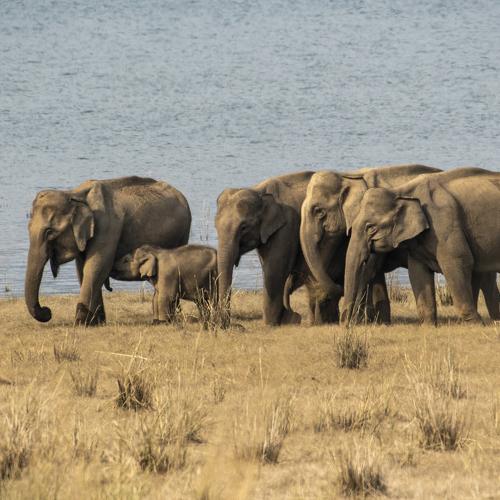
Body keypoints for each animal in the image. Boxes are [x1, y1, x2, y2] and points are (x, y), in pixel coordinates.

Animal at [25, 176, 191, 326]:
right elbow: (82, 268)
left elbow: (97, 266)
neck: (74, 195)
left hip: (182, 234)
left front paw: (80, 322)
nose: (47, 311)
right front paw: (96, 322)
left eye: (49, 232)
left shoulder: (107, 226)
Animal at [215, 171, 346, 327]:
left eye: (244, 227)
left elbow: (274, 271)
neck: (259, 192)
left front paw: (271, 324)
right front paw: (285, 320)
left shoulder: (287, 226)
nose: (228, 324)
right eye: (215, 227)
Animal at [300, 164, 442, 323]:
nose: (338, 287)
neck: (348, 177)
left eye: (319, 211)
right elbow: (373, 272)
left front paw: (357, 321)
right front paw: (381, 322)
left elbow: (368, 268)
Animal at [342, 167, 500, 324]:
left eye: (371, 228)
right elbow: (418, 272)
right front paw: (428, 326)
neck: (401, 191)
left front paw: (476, 323)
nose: (347, 324)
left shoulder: (445, 226)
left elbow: (458, 263)